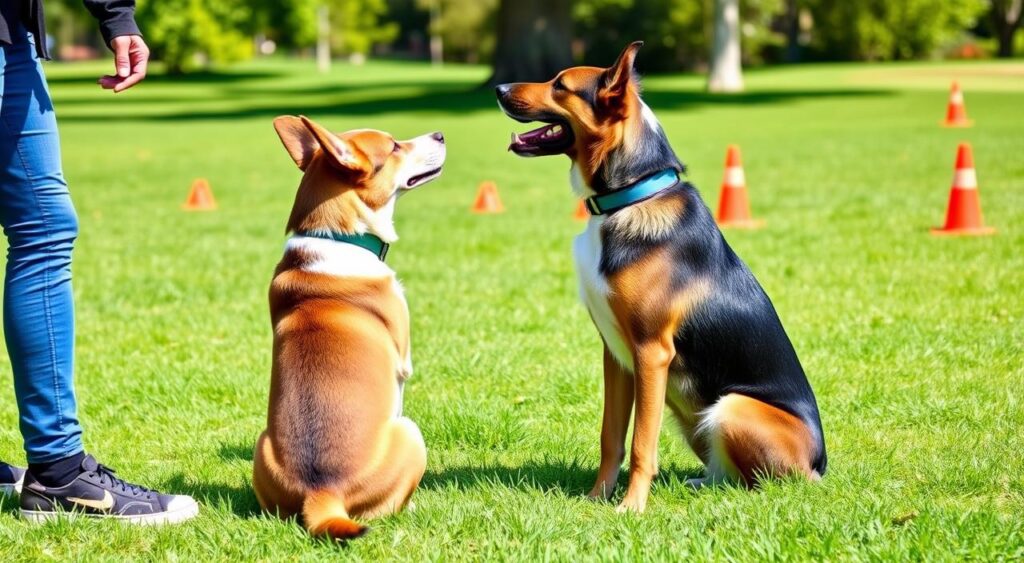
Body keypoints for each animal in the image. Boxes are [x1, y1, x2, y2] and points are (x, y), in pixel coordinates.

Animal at [251, 115, 444, 544]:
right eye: (394, 147)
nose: (440, 133)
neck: (336, 236)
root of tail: (323, 492)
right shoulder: (404, 363)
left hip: (261, 445)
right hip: (410, 433)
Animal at [495, 41, 823, 513]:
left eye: (560, 85)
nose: (499, 89)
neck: (629, 195)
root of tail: (819, 467)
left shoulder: (652, 352)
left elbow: (640, 444)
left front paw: (631, 508)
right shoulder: (616, 356)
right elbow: (611, 437)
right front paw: (597, 498)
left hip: (730, 407)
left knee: (764, 483)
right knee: (724, 475)